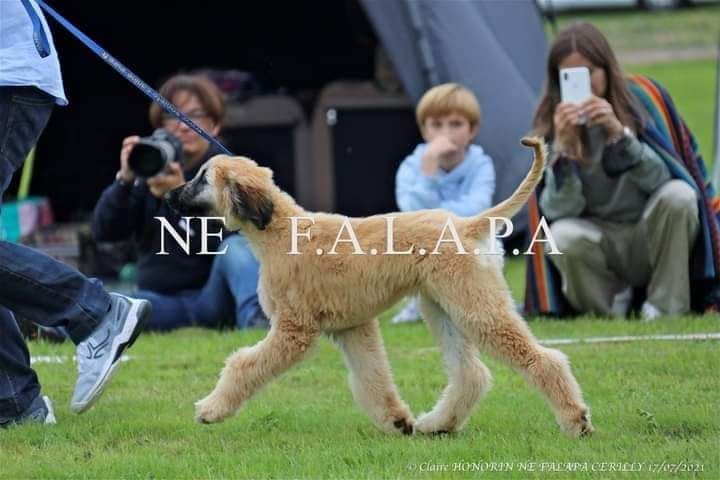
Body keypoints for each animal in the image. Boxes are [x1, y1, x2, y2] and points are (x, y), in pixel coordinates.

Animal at [170, 137, 596, 436]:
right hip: (443, 307)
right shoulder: (353, 326)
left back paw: (575, 419)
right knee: (470, 374)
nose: (171, 195)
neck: (280, 230)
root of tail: (467, 224)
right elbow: (371, 379)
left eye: (201, 178)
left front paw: (211, 409)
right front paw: (397, 421)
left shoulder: (294, 328)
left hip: (476, 306)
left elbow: (244, 364)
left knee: (544, 359)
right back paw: (437, 423)